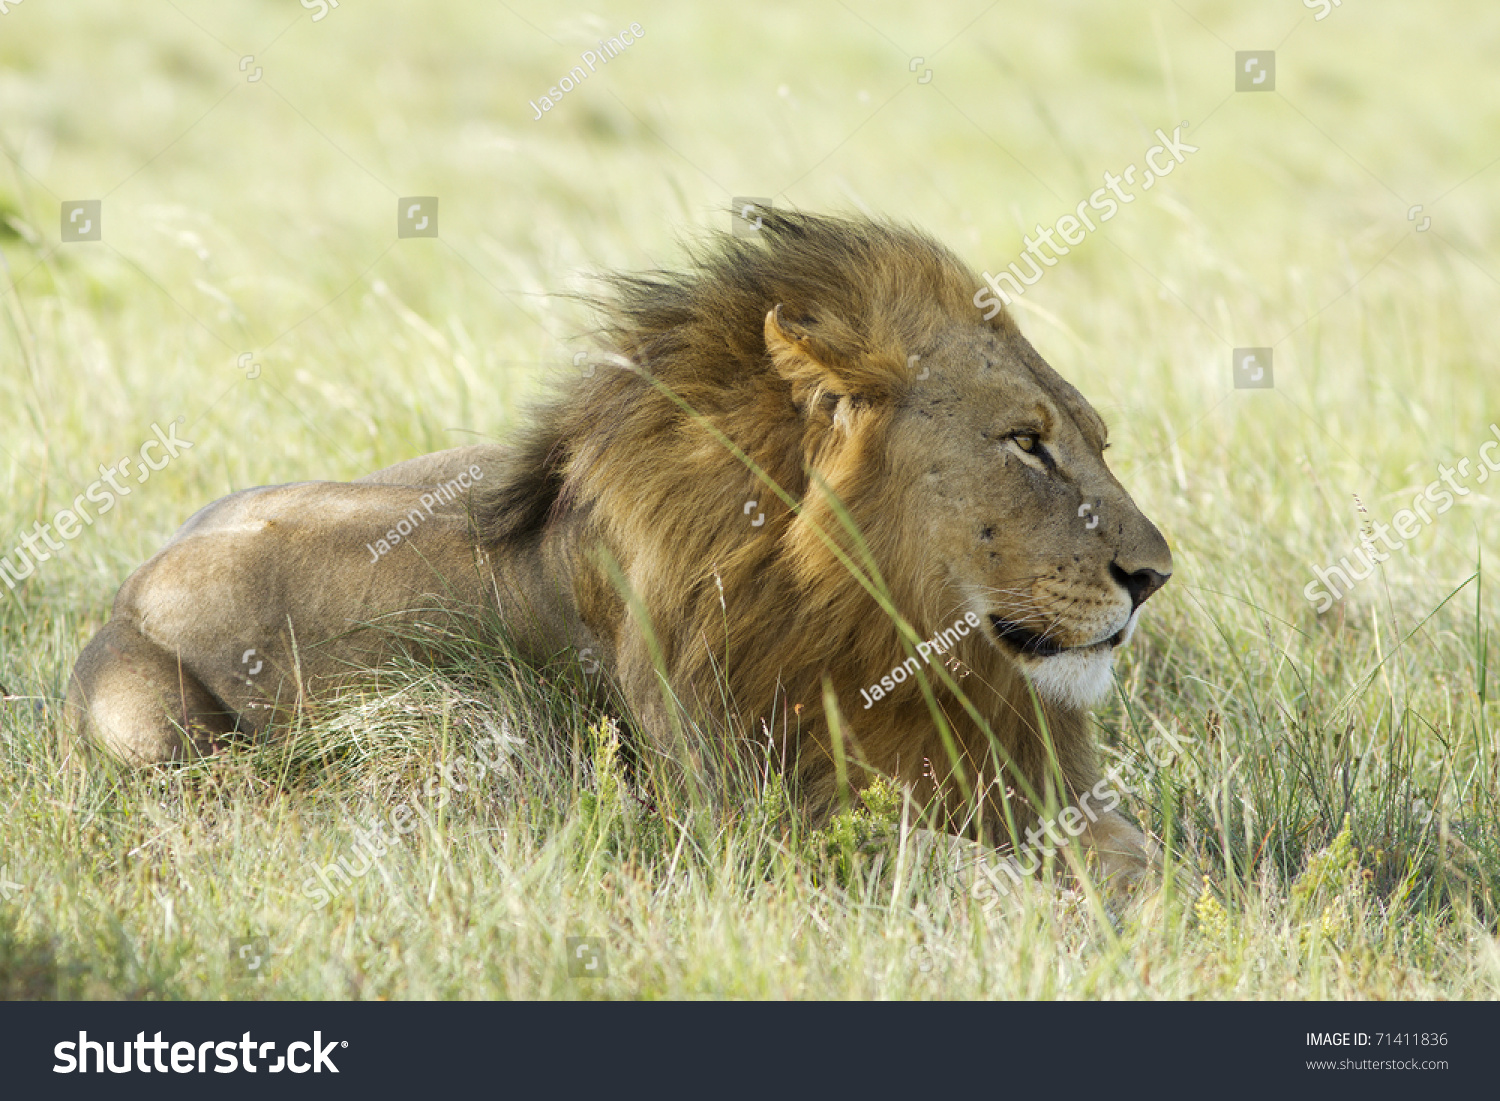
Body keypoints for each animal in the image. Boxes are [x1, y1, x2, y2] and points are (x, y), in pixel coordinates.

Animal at [67, 211, 1170, 894]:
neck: (883, 643)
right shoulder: (739, 815)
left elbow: (1142, 857)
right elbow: (941, 861)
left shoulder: (1023, 778)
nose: (1154, 577)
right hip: (195, 730)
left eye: (1097, 440)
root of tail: (131, 590)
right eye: (1025, 442)